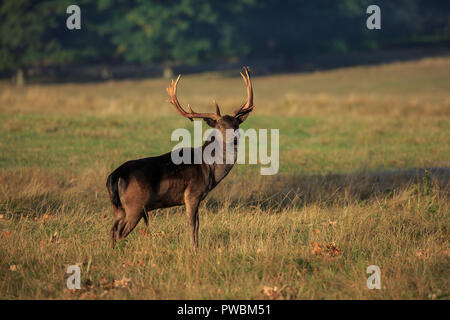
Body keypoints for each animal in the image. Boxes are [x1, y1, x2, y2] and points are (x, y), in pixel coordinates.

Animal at [103, 67, 255, 248]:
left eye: (236, 125)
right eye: (220, 126)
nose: (235, 139)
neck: (209, 168)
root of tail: (115, 176)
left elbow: (197, 224)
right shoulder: (192, 193)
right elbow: (193, 225)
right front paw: (194, 248)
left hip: (118, 207)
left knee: (112, 229)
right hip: (135, 205)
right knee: (119, 231)